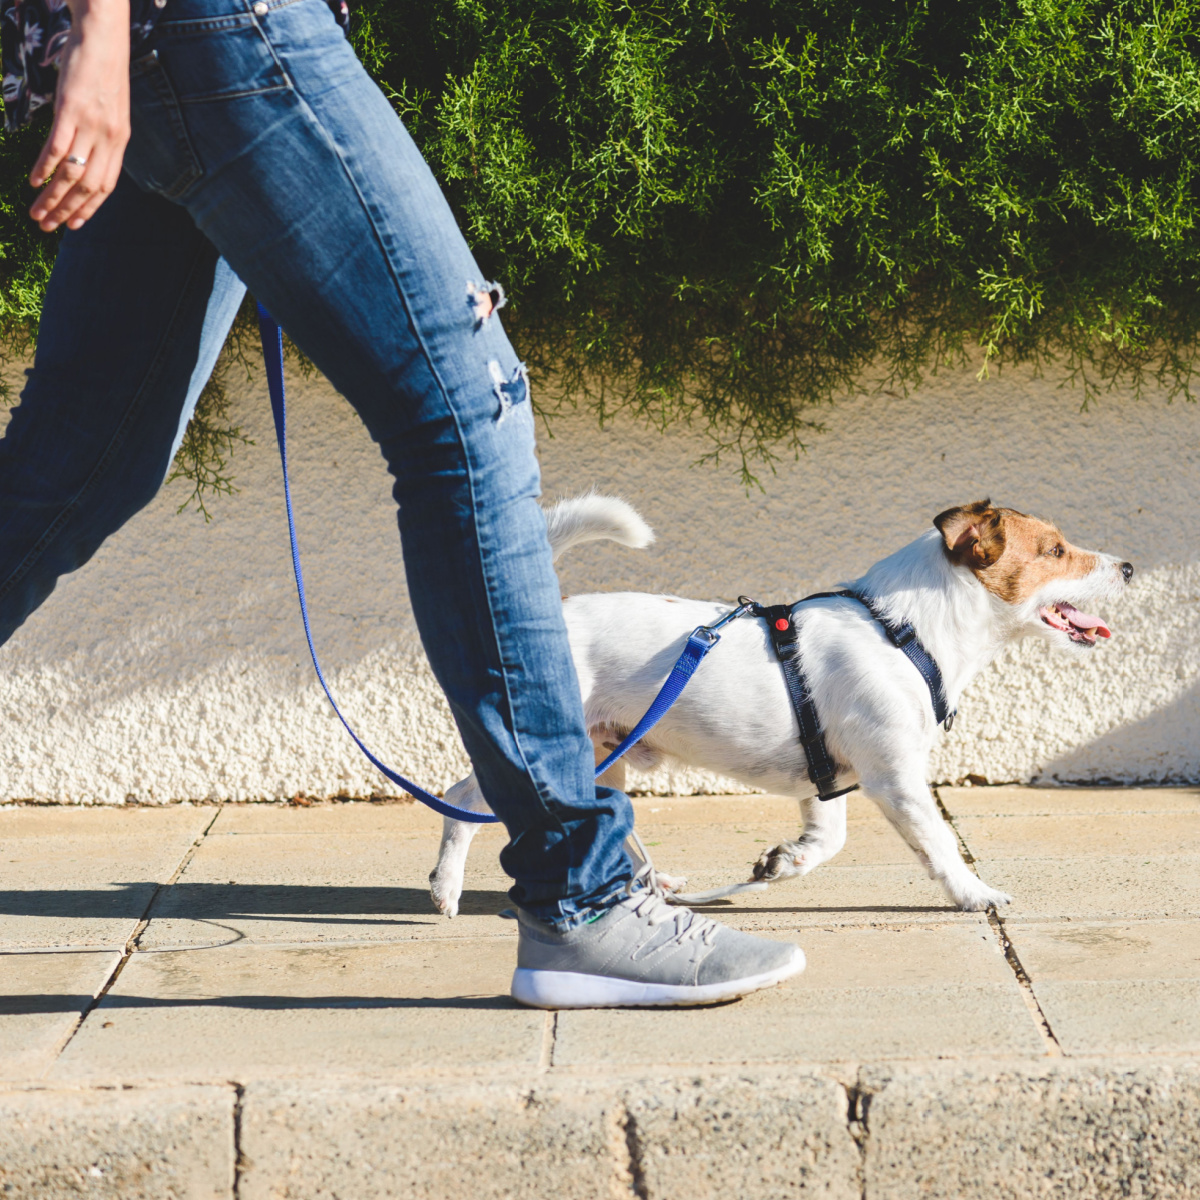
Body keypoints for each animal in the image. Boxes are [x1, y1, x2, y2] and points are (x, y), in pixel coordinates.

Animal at [432, 492, 1132, 912]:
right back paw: (446, 887)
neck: (906, 631)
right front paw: (974, 893)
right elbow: (938, 845)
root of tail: (550, 616)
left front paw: (782, 863)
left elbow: (827, 840)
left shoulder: (828, 777)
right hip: (550, 749)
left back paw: (654, 885)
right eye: (1055, 551)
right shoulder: (896, 778)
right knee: (462, 800)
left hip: (608, 754)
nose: (1128, 567)